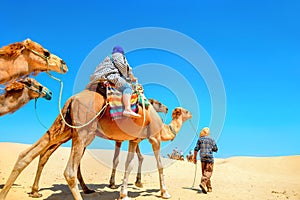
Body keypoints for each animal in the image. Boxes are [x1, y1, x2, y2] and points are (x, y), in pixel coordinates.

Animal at [0, 89, 192, 200]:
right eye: (186, 111)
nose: (168, 108)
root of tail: (71, 99)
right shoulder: (154, 138)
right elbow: (159, 165)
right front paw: (164, 192)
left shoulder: (133, 140)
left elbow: (129, 165)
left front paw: (124, 194)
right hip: (83, 130)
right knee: (68, 169)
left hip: (64, 128)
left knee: (31, 153)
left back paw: (26, 192)